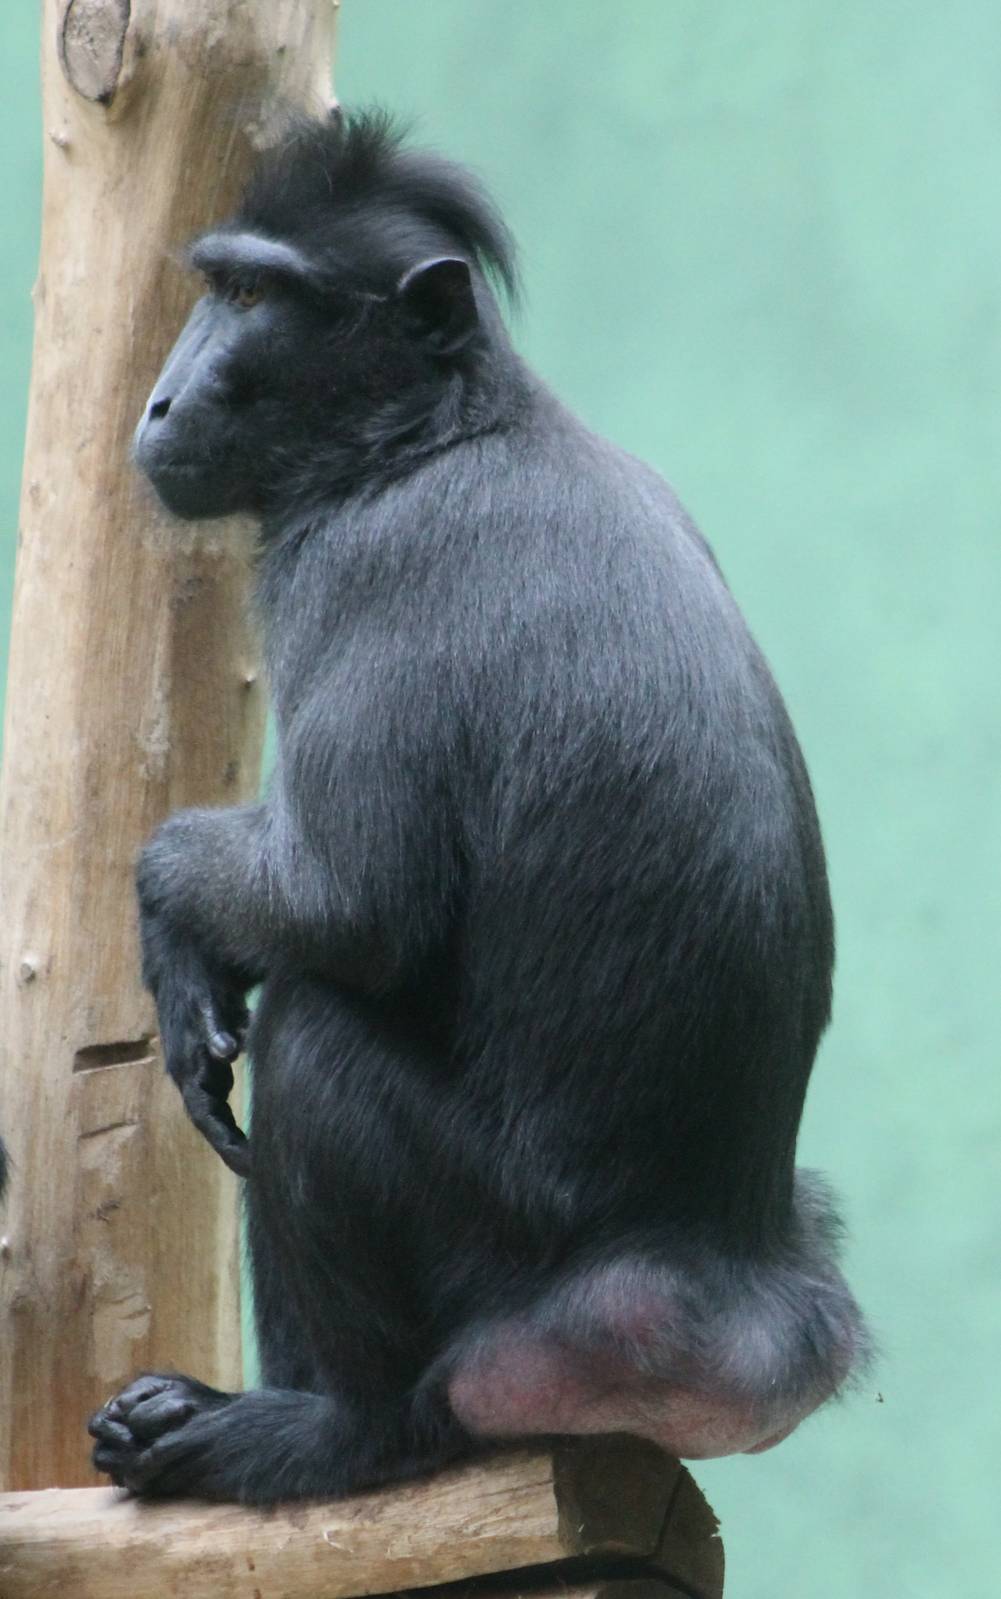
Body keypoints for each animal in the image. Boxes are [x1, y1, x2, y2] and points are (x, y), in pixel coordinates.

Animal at [89, 109, 868, 1502]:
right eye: (217, 285)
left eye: (253, 299)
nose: (163, 401)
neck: (443, 430)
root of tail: (715, 1264)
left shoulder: (364, 564)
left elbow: (349, 909)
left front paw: (175, 914)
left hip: (498, 1253)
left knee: (318, 1030)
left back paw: (321, 1430)